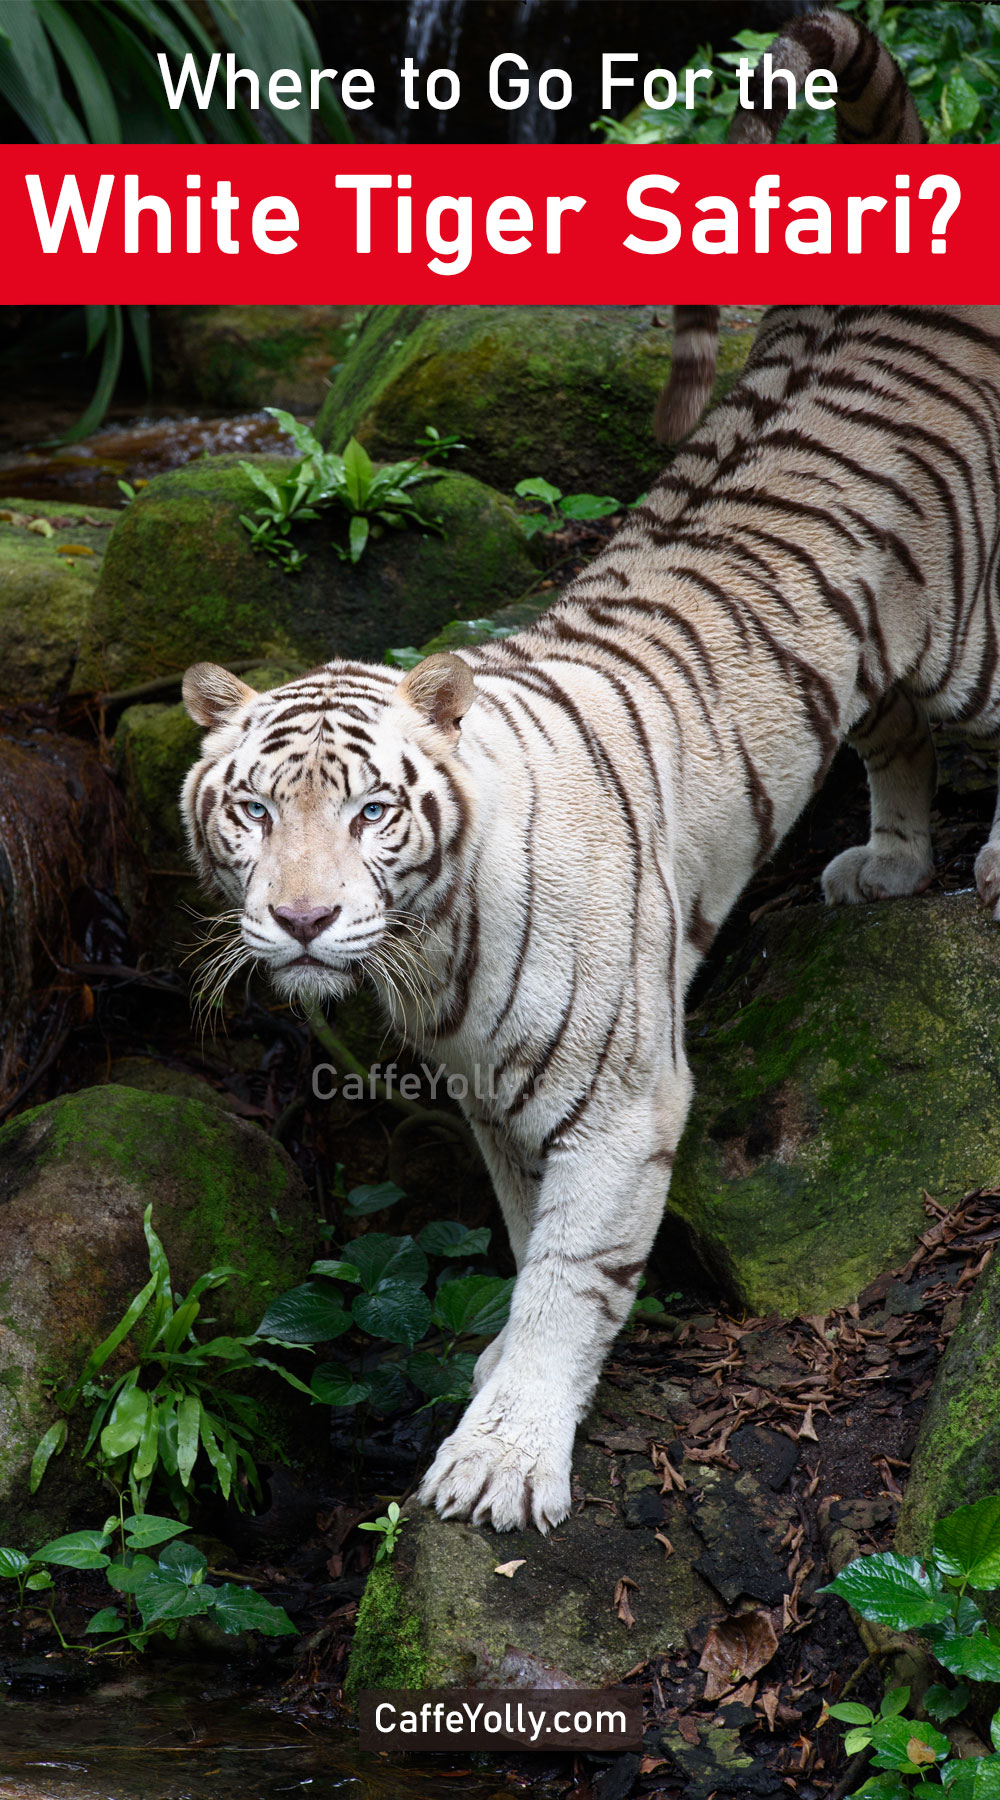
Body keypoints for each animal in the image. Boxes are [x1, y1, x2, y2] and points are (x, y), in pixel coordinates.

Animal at [179, 14, 1000, 1534]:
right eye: (254, 811)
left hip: (969, 630)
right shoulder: (496, 1107)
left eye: (372, 812)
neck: (430, 956)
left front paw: (500, 1459)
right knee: (890, 733)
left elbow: (571, 1277)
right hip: (861, 649)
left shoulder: (620, 1102)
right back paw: (890, 861)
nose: (303, 921)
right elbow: (520, 1242)